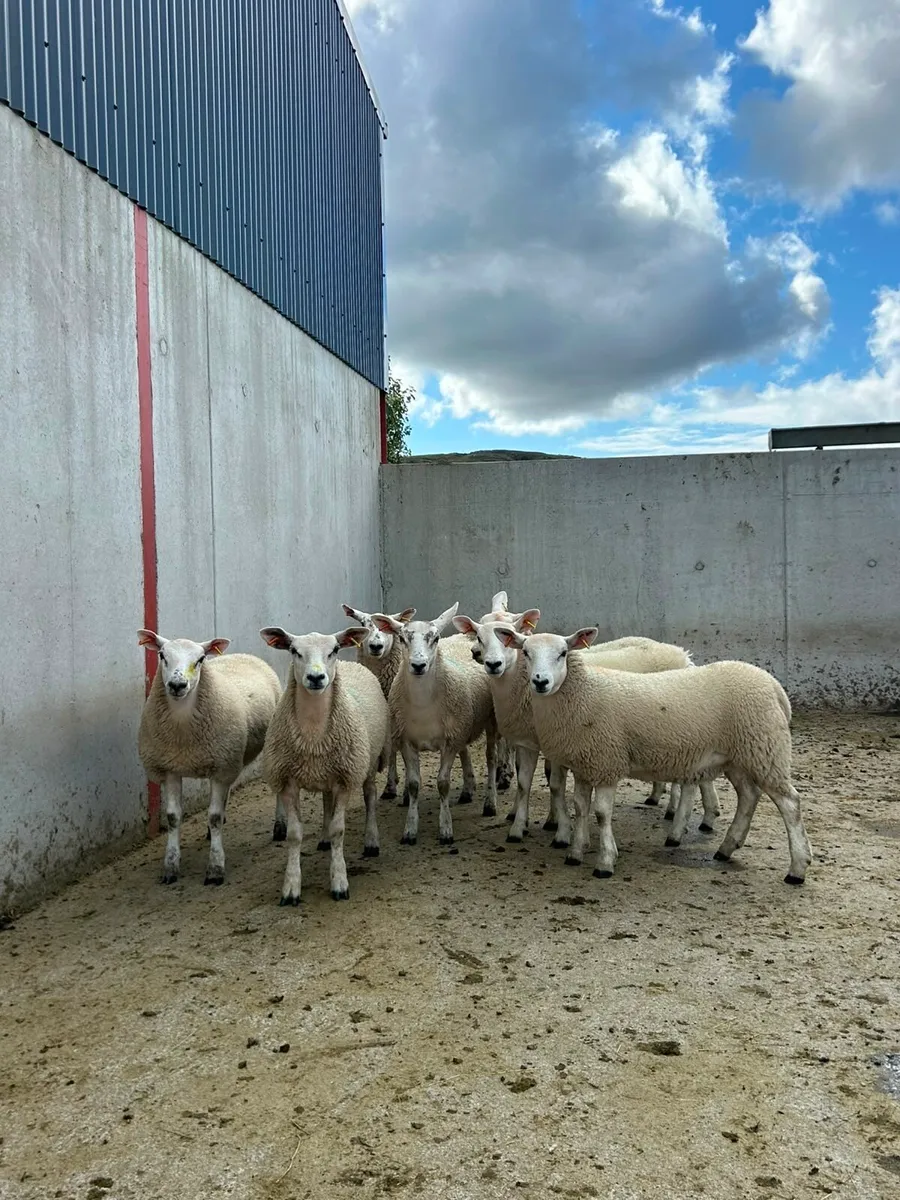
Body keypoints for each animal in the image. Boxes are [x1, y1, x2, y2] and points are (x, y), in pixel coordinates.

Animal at [137, 630, 281, 885]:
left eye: (201, 659)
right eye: (162, 655)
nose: (177, 685)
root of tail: (247, 655)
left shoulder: (221, 768)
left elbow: (213, 816)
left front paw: (215, 868)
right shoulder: (170, 768)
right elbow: (173, 817)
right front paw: (170, 867)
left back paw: (280, 827)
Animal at [259, 625, 390, 904]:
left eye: (335, 649)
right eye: (294, 650)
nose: (316, 677)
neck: (313, 737)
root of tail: (352, 665)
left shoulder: (345, 779)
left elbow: (339, 830)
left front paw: (339, 882)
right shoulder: (288, 782)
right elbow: (294, 835)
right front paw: (291, 887)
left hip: (366, 762)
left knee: (370, 796)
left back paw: (371, 841)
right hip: (327, 771)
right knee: (326, 802)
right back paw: (323, 839)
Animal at [341, 602, 416, 800]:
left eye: (386, 628)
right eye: (363, 623)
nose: (376, 646)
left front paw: (404, 789)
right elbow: (391, 749)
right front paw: (391, 787)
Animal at [372, 602, 499, 845]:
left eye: (436, 638)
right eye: (402, 638)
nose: (418, 665)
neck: (423, 705)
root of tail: (464, 636)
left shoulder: (449, 742)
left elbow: (443, 783)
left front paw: (446, 829)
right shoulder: (406, 741)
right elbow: (414, 785)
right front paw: (410, 829)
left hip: (490, 721)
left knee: (491, 759)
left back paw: (490, 803)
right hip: (461, 724)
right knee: (465, 750)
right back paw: (468, 789)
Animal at [508, 627, 812, 885]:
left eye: (562, 653)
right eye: (526, 653)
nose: (541, 682)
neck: (583, 692)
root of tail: (773, 685)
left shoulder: (606, 761)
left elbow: (602, 814)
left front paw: (605, 862)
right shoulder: (586, 763)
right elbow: (581, 807)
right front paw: (575, 852)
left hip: (765, 750)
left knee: (790, 804)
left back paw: (797, 868)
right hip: (737, 756)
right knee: (749, 796)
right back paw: (726, 848)